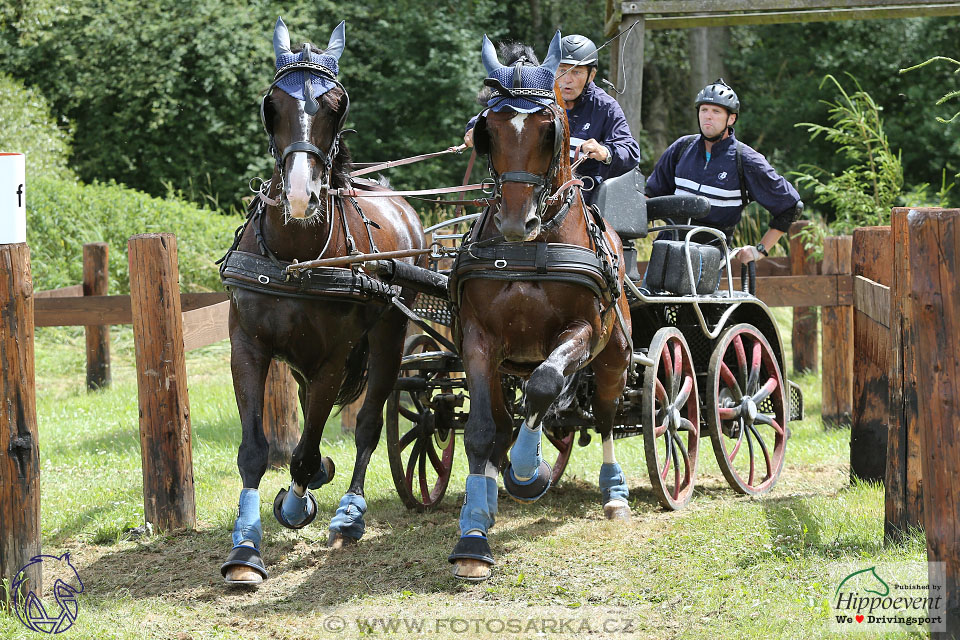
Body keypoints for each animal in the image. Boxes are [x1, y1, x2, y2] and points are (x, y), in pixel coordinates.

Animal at [223, 16, 426, 584]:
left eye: (336, 105)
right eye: (272, 105)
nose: (299, 195)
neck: (297, 257)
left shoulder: (335, 358)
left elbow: (308, 449)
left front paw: (300, 499)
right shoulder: (247, 347)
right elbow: (256, 451)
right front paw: (244, 550)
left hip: (387, 341)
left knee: (369, 425)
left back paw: (349, 513)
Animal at [450, 35, 636, 584]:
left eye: (547, 129)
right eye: (487, 128)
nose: (517, 221)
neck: (529, 249)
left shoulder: (583, 330)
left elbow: (546, 386)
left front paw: (528, 471)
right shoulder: (480, 342)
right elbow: (483, 430)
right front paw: (474, 534)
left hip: (615, 354)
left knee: (606, 415)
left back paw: (614, 493)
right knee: (505, 419)